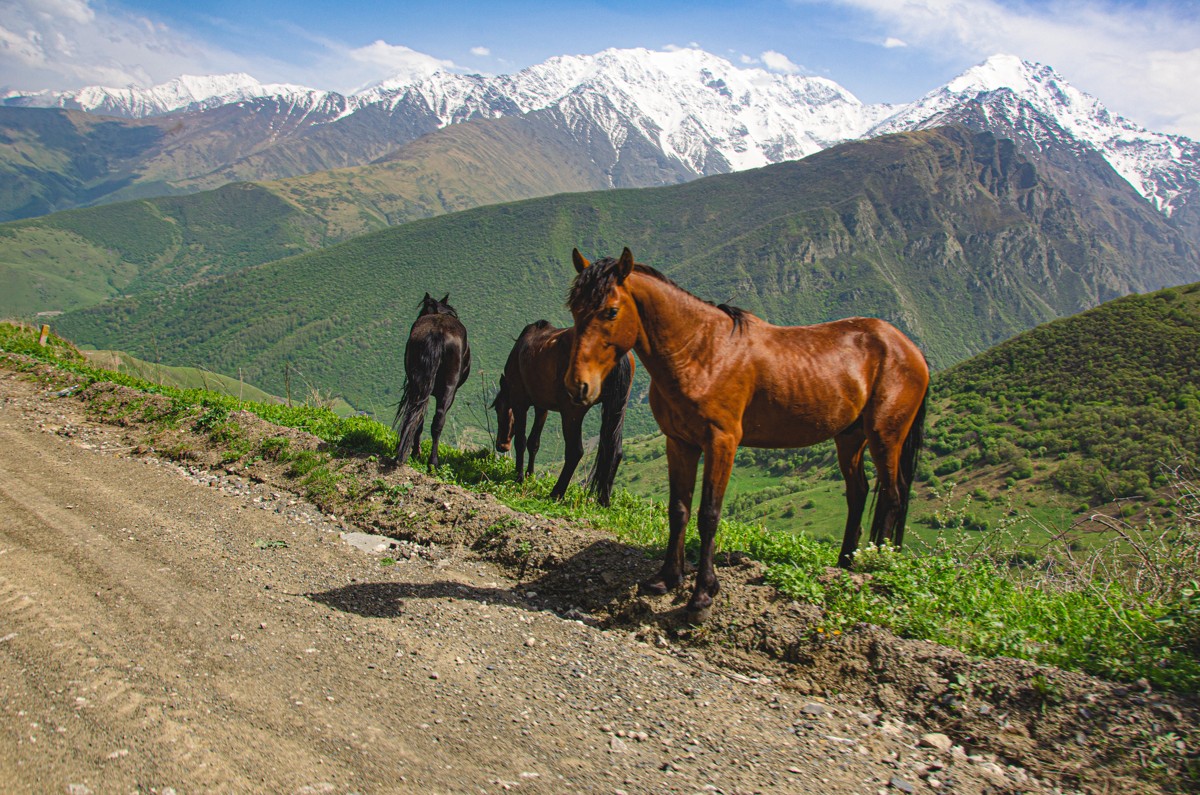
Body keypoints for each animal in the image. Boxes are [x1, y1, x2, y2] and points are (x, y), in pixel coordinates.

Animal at [391, 291, 470, 468]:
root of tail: (438, 333)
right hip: (447, 389)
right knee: (436, 420)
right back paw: (431, 461)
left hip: (420, 386)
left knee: (418, 414)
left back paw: (411, 454)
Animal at [489, 321, 633, 506]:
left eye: (499, 408)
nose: (501, 445)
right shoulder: (542, 407)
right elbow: (534, 443)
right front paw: (530, 475)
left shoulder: (519, 402)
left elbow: (521, 441)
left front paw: (519, 477)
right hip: (615, 412)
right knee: (615, 451)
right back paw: (604, 500)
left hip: (572, 414)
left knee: (575, 451)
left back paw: (556, 493)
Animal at [561, 249, 926, 624]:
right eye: (574, 309)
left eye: (610, 311)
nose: (578, 386)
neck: (702, 353)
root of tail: (907, 347)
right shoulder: (679, 443)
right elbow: (679, 510)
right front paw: (667, 578)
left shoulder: (721, 443)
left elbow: (709, 514)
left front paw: (702, 596)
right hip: (850, 438)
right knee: (859, 493)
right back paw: (845, 564)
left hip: (885, 437)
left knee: (892, 496)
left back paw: (875, 568)